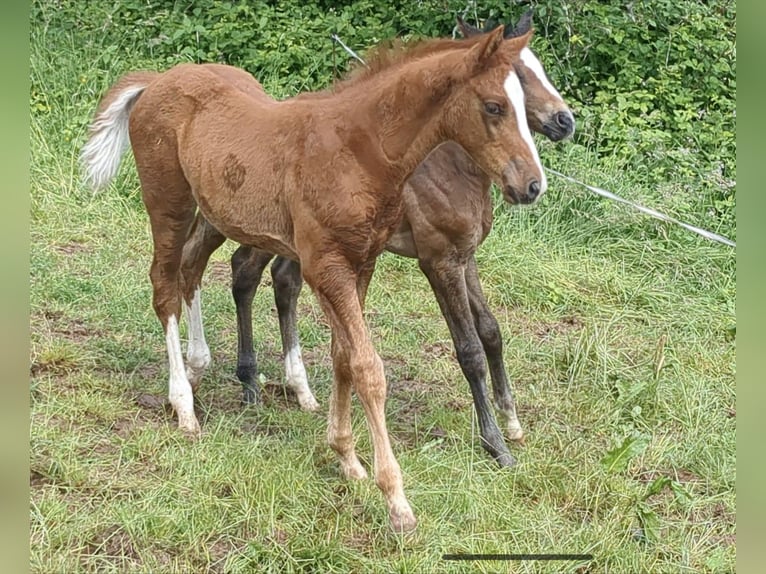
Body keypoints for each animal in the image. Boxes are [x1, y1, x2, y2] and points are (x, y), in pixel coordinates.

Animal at [81, 25, 544, 532]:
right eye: (494, 106)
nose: (532, 185)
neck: (358, 151)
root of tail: (160, 80)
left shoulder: (361, 263)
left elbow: (343, 356)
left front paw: (346, 458)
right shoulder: (332, 266)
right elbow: (367, 368)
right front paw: (396, 500)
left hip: (216, 213)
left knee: (190, 269)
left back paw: (197, 365)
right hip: (168, 202)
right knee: (164, 286)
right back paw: (183, 403)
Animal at [190, 12, 576, 468]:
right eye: (515, 79)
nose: (565, 121)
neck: (449, 166)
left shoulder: (465, 256)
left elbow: (491, 331)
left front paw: (512, 422)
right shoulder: (438, 260)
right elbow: (469, 350)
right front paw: (495, 444)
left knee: (276, 279)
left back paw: (300, 391)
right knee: (242, 272)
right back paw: (248, 383)